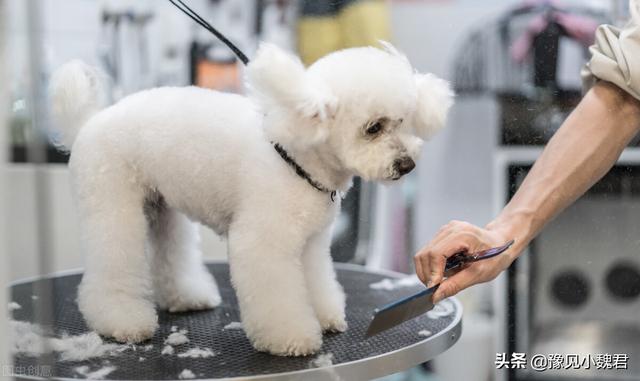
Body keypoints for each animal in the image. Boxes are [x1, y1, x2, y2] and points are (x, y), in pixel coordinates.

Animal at [50, 43, 456, 354]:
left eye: (403, 121)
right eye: (373, 128)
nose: (407, 165)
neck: (298, 157)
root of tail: (87, 123)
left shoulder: (310, 242)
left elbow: (316, 281)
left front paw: (324, 316)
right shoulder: (263, 242)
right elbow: (278, 297)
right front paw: (292, 338)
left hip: (162, 208)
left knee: (170, 256)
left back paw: (186, 297)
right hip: (112, 206)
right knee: (112, 265)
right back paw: (122, 320)